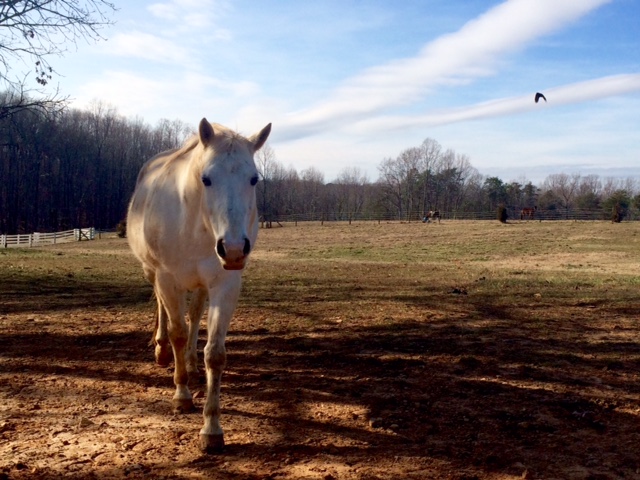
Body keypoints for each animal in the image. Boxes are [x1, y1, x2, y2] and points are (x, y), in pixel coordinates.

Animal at [127, 118, 271, 453]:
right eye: (206, 179)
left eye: (253, 179)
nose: (234, 248)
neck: (195, 222)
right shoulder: (167, 279)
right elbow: (178, 333)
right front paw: (181, 396)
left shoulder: (225, 284)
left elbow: (214, 352)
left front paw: (212, 428)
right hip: (153, 273)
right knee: (163, 312)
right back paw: (162, 351)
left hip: (201, 285)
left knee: (194, 316)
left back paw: (191, 363)